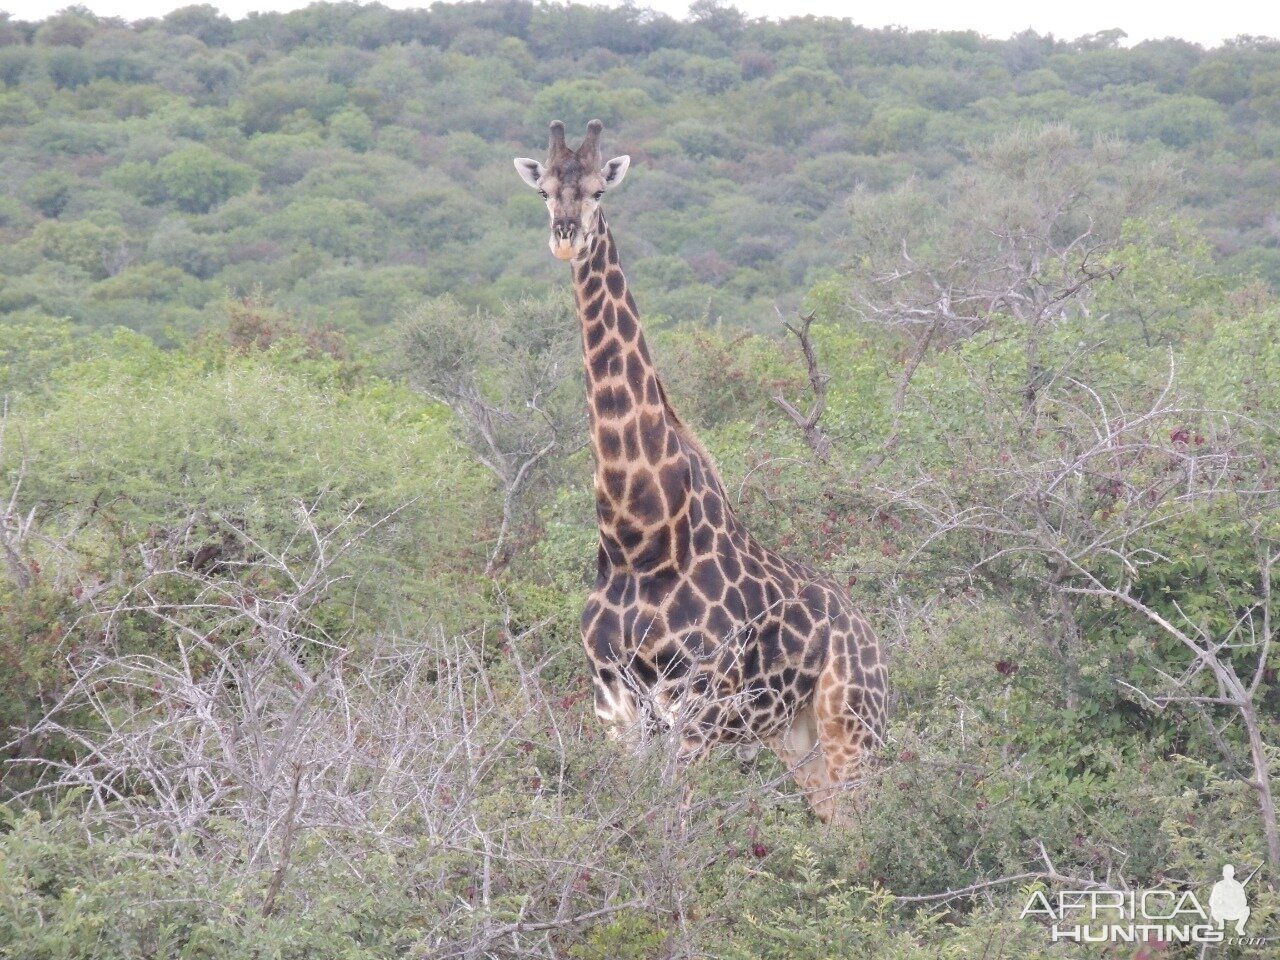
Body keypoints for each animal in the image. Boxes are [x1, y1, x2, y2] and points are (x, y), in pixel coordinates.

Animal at [514, 120, 885, 824]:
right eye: (545, 189)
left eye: (600, 187)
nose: (565, 235)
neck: (637, 536)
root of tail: (872, 636)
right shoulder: (615, 707)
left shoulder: (699, 706)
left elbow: (673, 826)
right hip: (794, 739)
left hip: (855, 724)